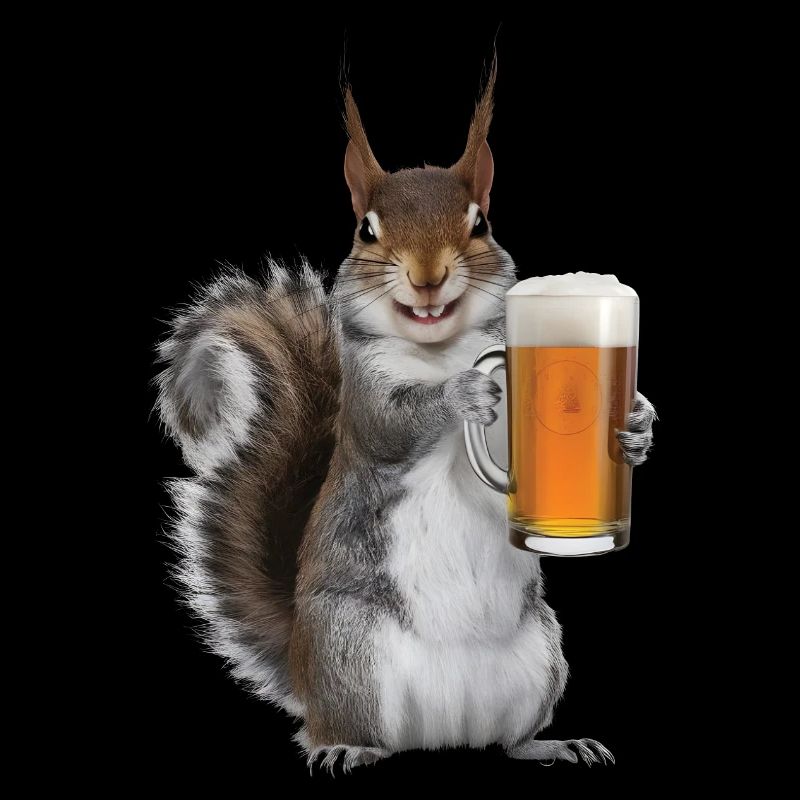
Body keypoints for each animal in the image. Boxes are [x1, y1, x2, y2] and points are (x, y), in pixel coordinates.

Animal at [155, 68, 656, 771]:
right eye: (366, 230)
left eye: (481, 222)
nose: (427, 276)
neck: (438, 347)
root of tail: (443, 731)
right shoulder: (366, 398)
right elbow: (398, 424)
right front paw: (459, 392)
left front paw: (636, 424)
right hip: (350, 652)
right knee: (347, 729)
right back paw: (348, 748)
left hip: (540, 656)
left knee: (511, 739)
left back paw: (553, 742)